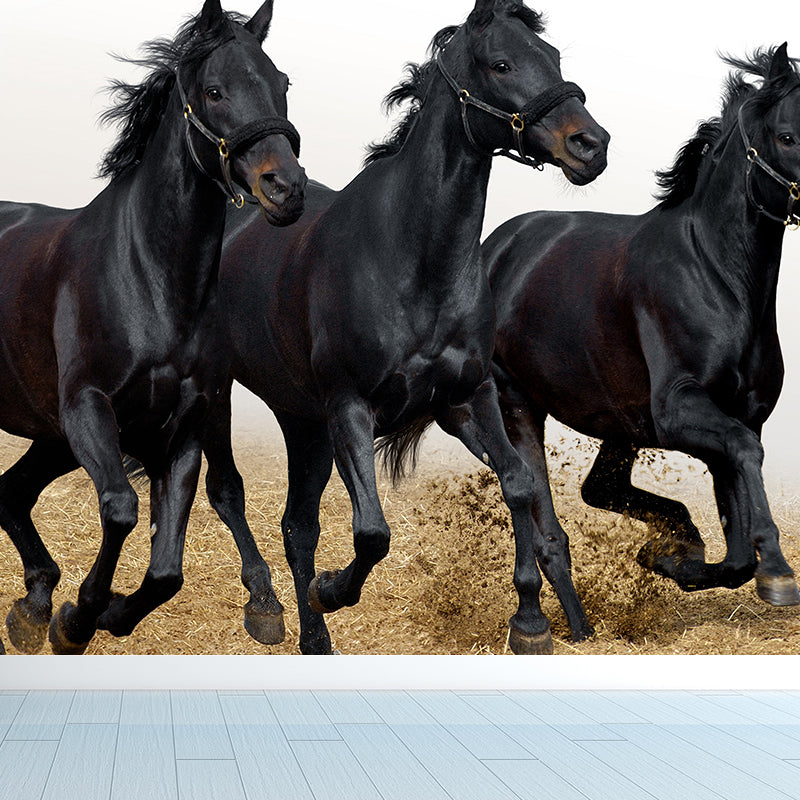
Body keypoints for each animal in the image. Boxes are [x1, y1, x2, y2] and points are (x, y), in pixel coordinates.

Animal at [0, 0, 305, 655]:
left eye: (283, 84)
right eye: (214, 90)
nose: (286, 189)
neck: (150, 281)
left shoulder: (181, 428)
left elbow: (167, 569)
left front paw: (98, 614)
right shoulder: (87, 408)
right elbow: (120, 507)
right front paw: (78, 618)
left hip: (49, 435)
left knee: (11, 491)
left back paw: (33, 605)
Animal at [203, 0, 609, 656]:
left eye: (552, 57)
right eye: (501, 63)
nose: (591, 145)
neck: (413, 260)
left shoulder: (469, 396)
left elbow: (519, 484)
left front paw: (530, 622)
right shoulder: (350, 409)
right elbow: (371, 531)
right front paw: (330, 590)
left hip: (304, 420)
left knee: (297, 526)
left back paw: (313, 638)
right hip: (221, 393)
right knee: (228, 492)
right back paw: (267, 607)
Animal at [483, 44, 800, 638]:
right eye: (788, 137)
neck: (716, 275)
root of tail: (495, 249)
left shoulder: (737, 417)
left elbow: (736, 548)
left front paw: (672, 558)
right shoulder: (681, 411)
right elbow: (747, 468)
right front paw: (778, 573)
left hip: (619, 422)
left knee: (599, 490)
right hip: (518, 404)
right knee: (547, 532)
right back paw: (567, 630)